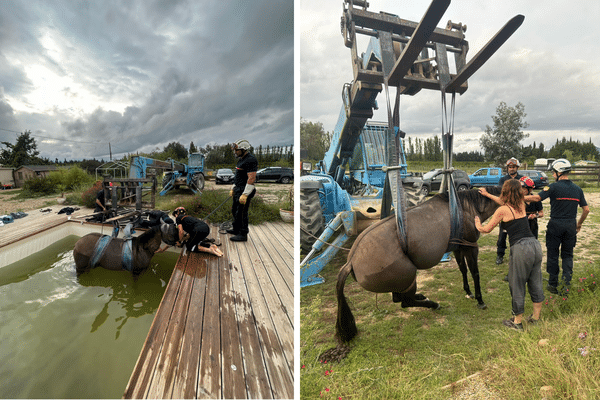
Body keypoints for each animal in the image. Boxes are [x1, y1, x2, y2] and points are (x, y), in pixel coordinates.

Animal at [338, 187, 502, 340]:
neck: (464, 208)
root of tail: (351, 261)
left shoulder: (458, 248)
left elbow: (463, 269)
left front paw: (468, 292)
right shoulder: (471, 247)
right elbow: (475, 273)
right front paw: (480, 300)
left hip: (402, 282)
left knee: (398, 298)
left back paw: (422, 296)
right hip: (410, 278)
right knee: (405, 302)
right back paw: (433, 304)